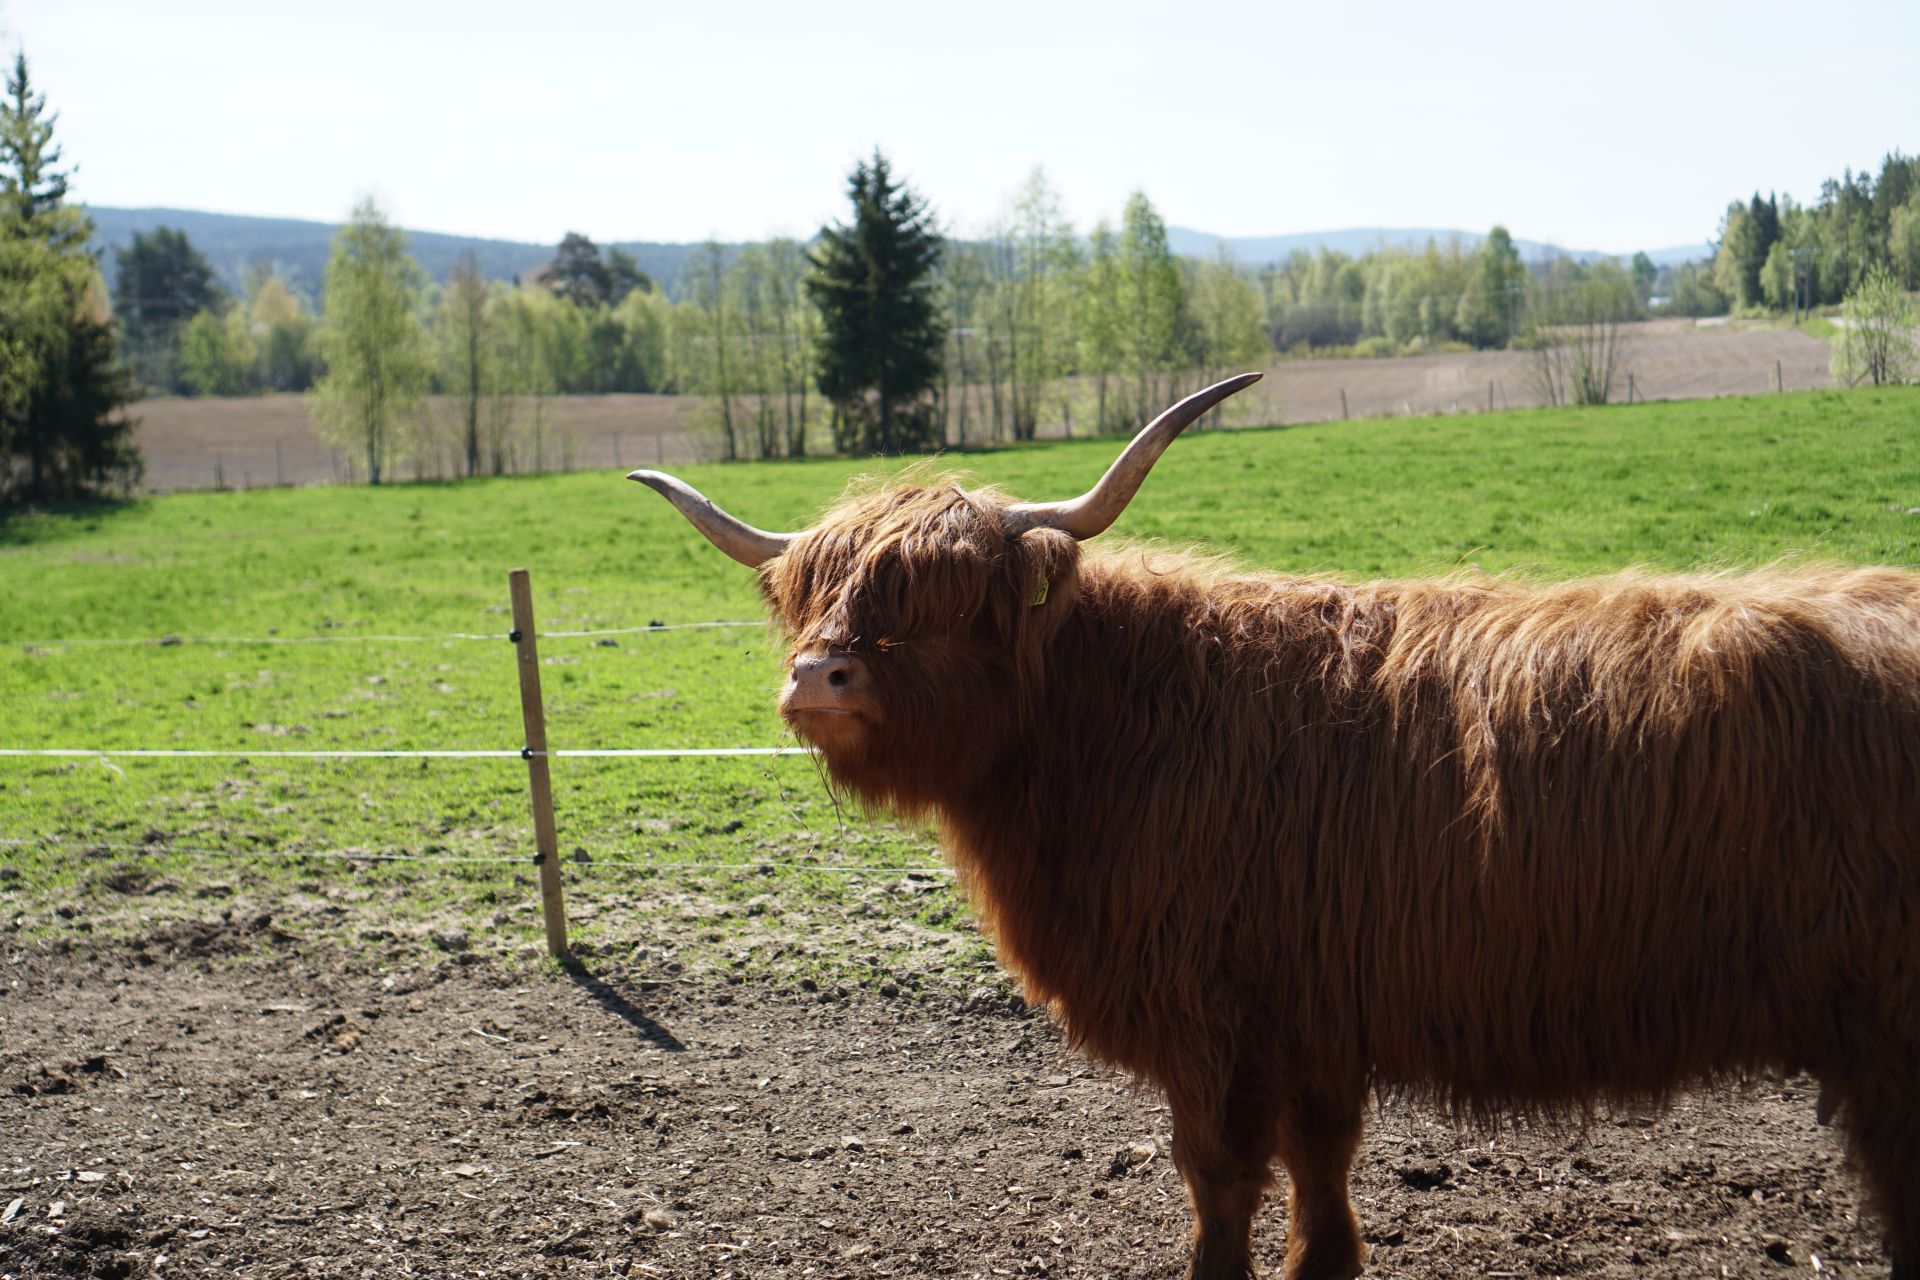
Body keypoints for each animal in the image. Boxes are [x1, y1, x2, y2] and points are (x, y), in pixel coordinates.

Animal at [629, 372, 1920, 1280]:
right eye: (812, 591)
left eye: (949, 599)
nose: (818, 676)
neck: (1117, 717)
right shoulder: (1312, 1011)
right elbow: (1320, 1168)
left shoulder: (1218, 1020)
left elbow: (1219, 1183)